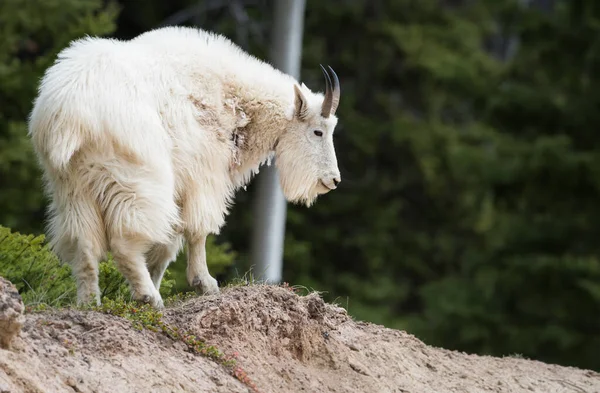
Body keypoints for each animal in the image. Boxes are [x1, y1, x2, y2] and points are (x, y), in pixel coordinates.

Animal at [28, 26, 342, 308]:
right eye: (318, 131)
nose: (333, 180)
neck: (234, 100)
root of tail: (67, 115)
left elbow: (168, 245)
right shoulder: (203, 175)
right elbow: (197, 230)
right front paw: (205, 283)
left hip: (71, 184)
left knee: (84, 244)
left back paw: (90, 302)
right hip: (135, 177)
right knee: (125, 240)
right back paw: (148, 297)